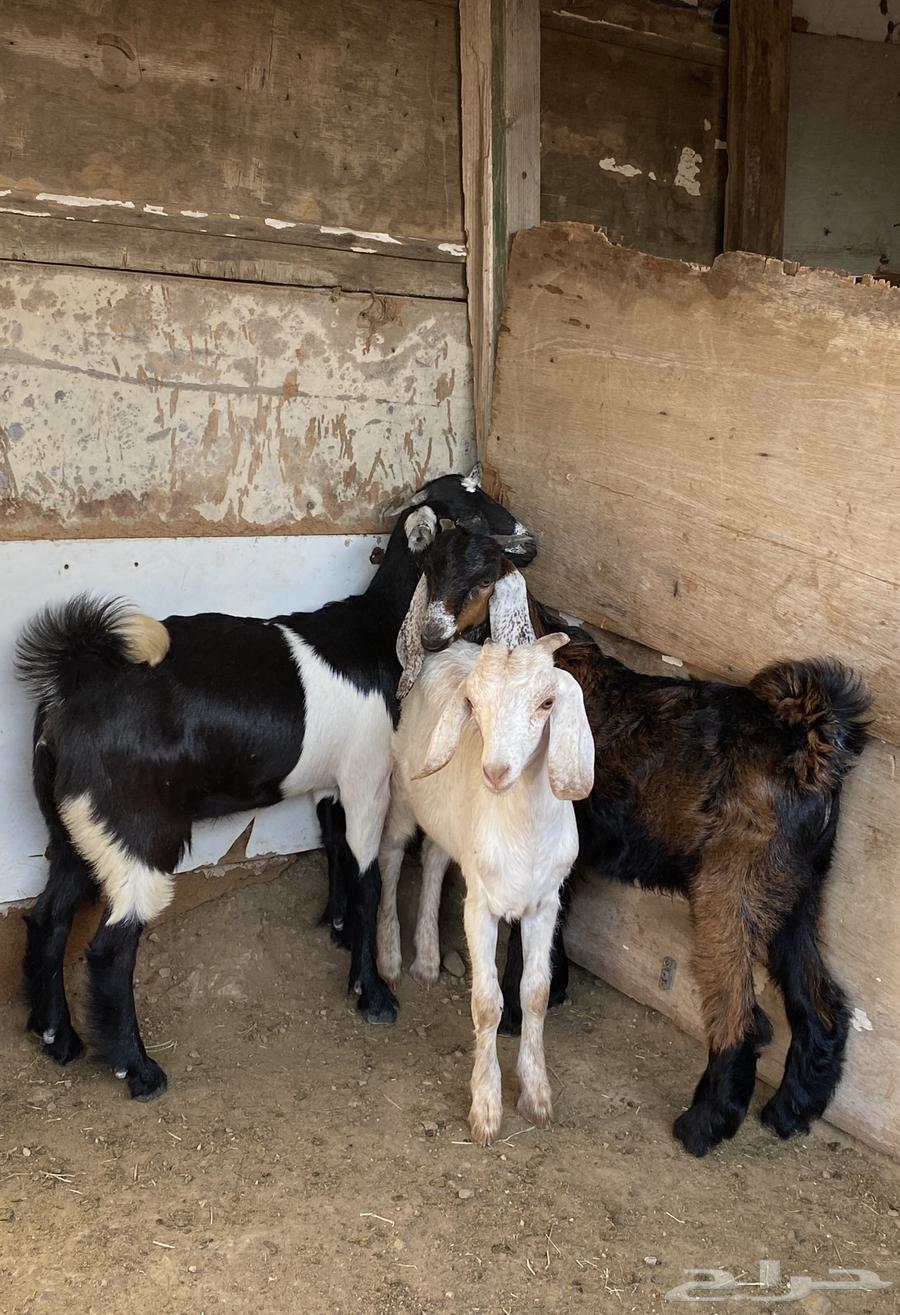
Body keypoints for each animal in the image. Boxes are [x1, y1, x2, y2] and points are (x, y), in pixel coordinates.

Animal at [15, 471, 531, 1101]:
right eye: (472, 524)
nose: (530, 541)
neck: (372, 635)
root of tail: (74, 682)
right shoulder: (367, 775)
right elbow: (367, 879)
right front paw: (372, 993)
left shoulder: (332, 782)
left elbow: (334, 846)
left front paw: (338, 928)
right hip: (135, 828)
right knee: (110, 947)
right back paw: (138, 1070)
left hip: (74, 824)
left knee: (48, 918)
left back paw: (56, 1038)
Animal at [377, 635, 594, 1146]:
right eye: (473, 704)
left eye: (547, 702)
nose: (495, 771)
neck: (524, 831)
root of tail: (449, 646)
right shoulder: (480, 908)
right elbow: (487, 1004)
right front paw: (487, 1109)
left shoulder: (544, 905)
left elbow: (535, 993)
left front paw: (537, 1096)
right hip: (403, 790)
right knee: (391, 854)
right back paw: (391, 956)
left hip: (447, 821)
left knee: (435, 858)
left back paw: (428, 960)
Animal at [403, 527, 871, 1156]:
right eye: (431, 565)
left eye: (481, 577)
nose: (432, 634)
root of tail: (805, 742)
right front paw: (547, 995)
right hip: (796, 884)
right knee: (820, 1005)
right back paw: (790, 1112)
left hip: (733, 883)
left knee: (743, 1014)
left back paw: (703, 1125)